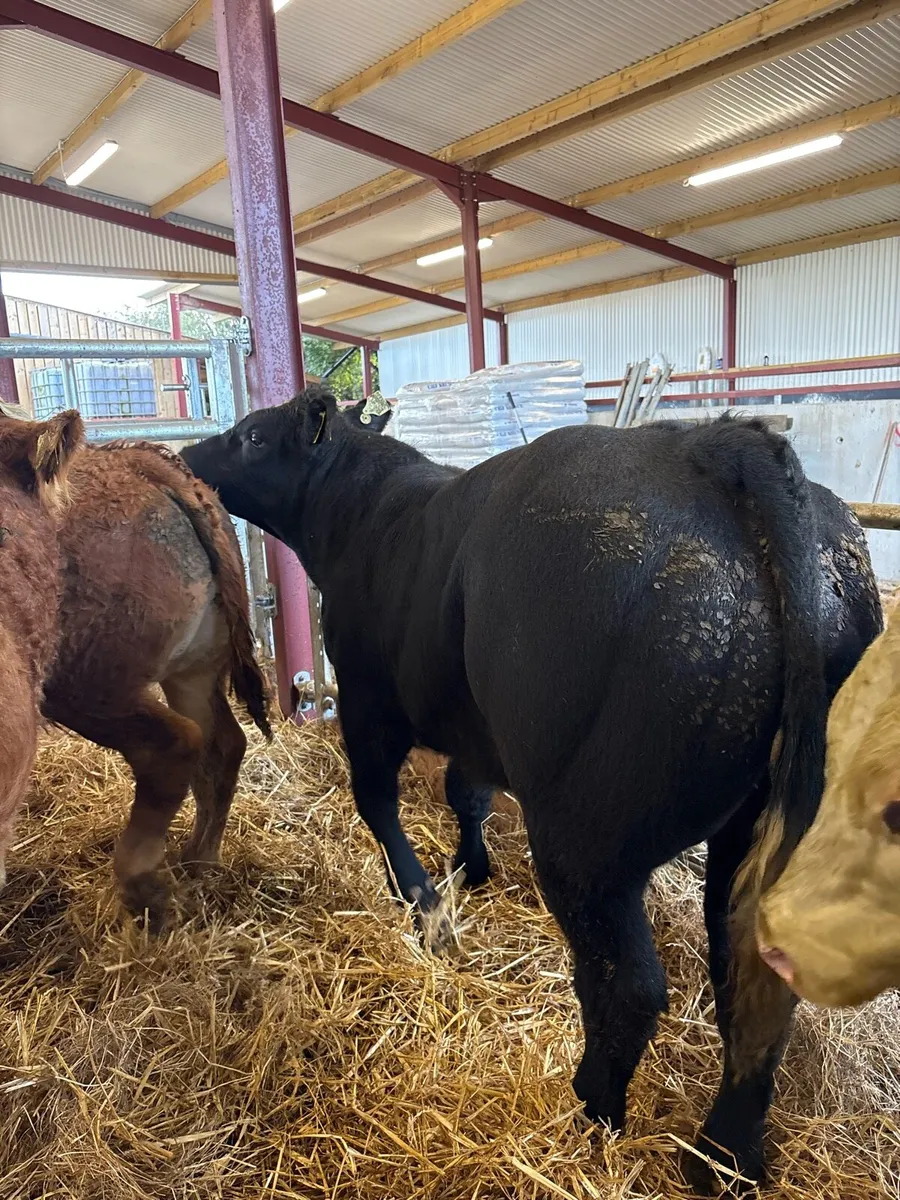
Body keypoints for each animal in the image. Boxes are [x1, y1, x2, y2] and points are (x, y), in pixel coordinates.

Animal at [35, 440, 271, 927]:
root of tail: (143, 467)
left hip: (86, 686)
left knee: (171, 746)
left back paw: (146, 888)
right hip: (192, 674)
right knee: (222, 745)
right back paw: (197, 859)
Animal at [181, 386, 880, 1191]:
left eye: (251, 434)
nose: (187, 454)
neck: (368, 511)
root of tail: (711, 447)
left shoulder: (366, 695)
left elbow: (376, 800)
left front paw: (424, 903)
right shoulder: (478, 729)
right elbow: (467, 793)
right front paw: (471, 869)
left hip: (585, 838)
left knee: (628, 985)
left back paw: (594, 1110)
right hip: (757, 830)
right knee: (753, 981)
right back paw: (724, 1157)